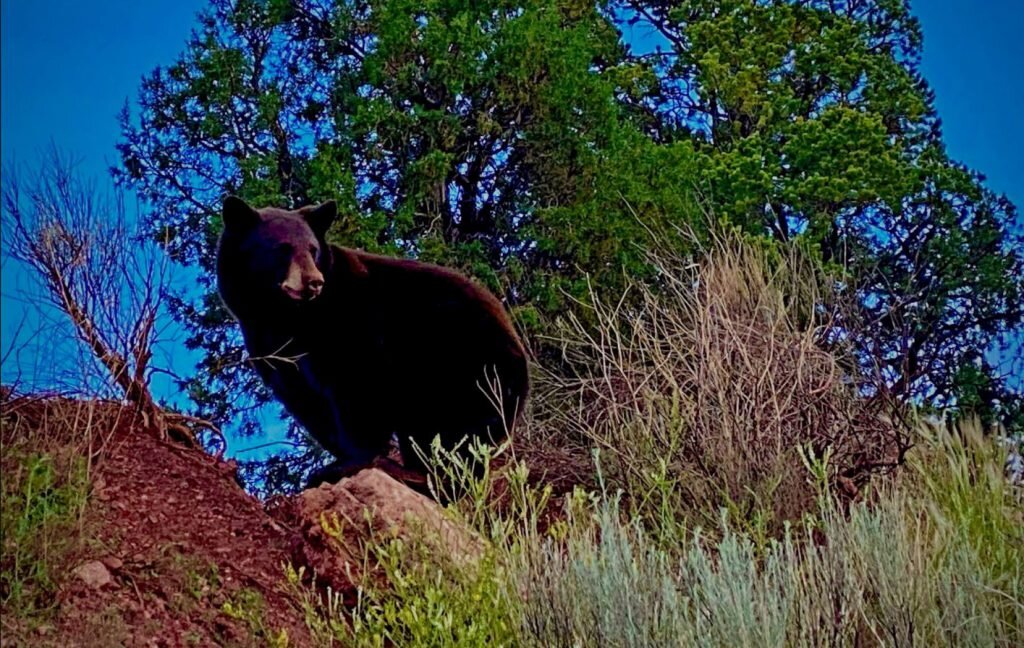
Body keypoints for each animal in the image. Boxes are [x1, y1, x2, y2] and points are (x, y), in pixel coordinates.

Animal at [215, 196, 530, 488]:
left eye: (312, 250)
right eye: (281, 249)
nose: (314, 281)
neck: (285, 316)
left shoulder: (353, 325)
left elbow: (357, 386)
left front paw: (344, 464)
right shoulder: (269, 348)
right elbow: (308, 404)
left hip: (461, 368)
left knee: (449, 430)